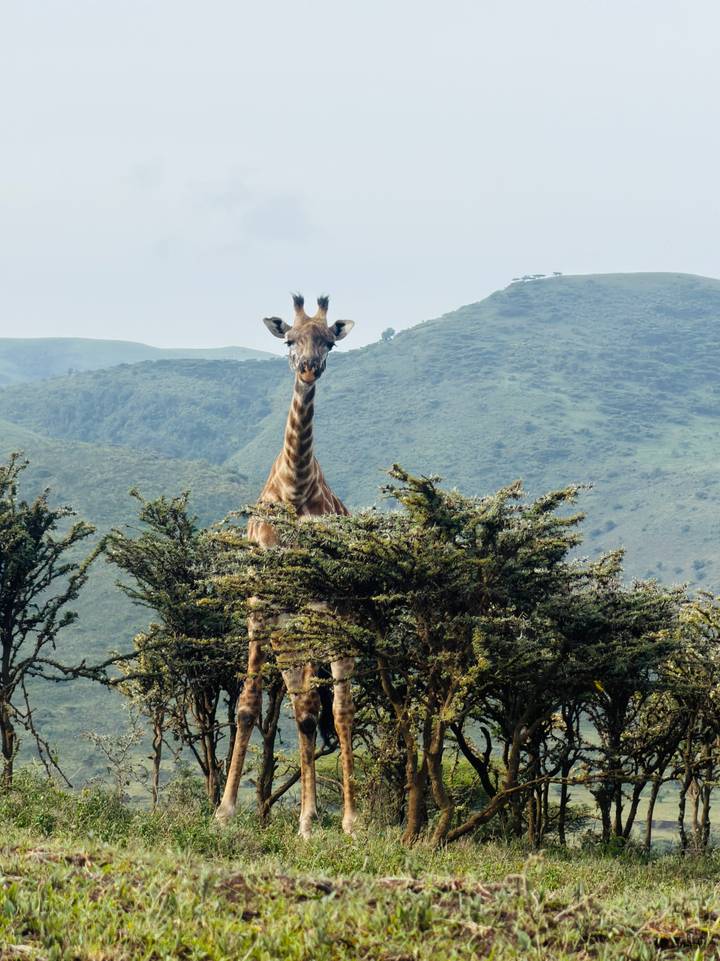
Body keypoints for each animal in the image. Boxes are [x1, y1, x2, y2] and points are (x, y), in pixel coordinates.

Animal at [215, 293, 357, 838]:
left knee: (337, 708)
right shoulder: (260, 602)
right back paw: (310, 815)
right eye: (290, 340)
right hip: (289, 631)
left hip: (336, 624)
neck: (295, 491)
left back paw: (346, 820)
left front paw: (313, 820)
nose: (308, 368)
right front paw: (224, 811)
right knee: (301, 706)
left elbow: (319, 709)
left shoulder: (314, 603)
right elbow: (247, 705)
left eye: (329, 341)